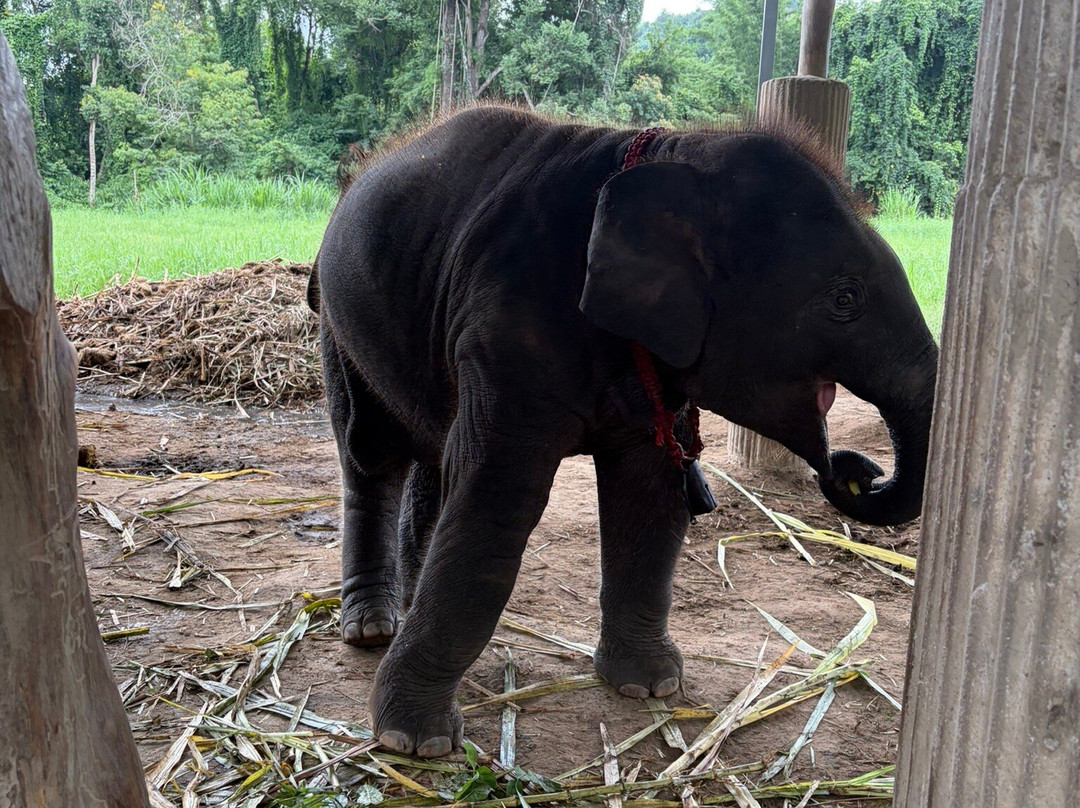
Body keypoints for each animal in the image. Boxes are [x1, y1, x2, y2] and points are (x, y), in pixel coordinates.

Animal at [310, 106, 938, 758]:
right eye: (845, 299)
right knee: (369, 453)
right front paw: (415, 742)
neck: (672, 151)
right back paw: (372, 628)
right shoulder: (504, 333)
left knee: (429, 456)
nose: (857, 471)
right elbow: (495, 500)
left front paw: (650, 687)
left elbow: (648, 496)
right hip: (337, 321)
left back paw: (406, 607)